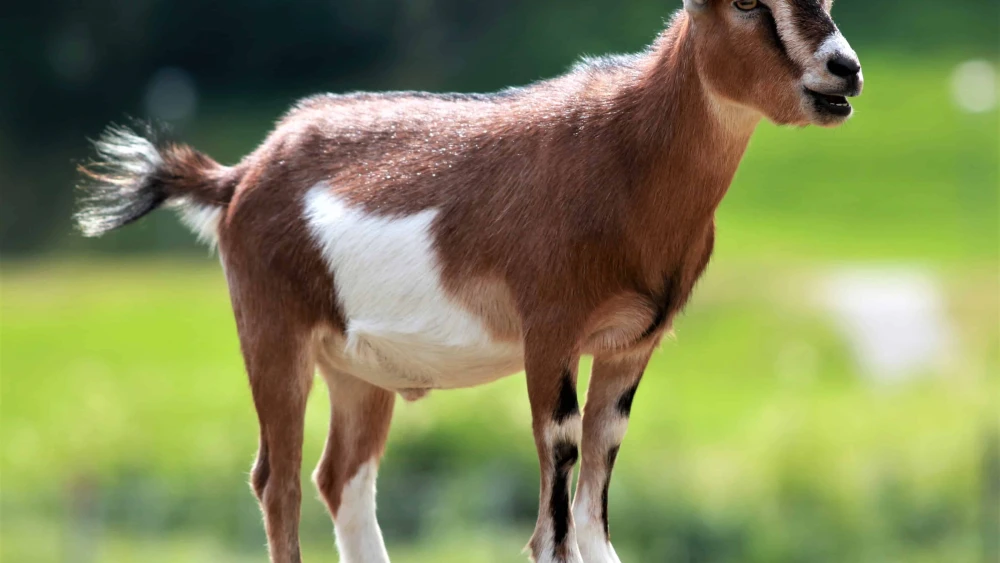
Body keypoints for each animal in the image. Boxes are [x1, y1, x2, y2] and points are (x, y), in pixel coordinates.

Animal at [75, 1, 863, 561]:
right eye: (746, 2)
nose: (844, 70)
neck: (626, 154)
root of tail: (238, 176)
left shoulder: (631, 343)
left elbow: (599, 475)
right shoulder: (550, 333)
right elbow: (557, 490)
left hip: (356, 369)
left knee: (341, 476)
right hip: (273, 331)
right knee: (280, 480)